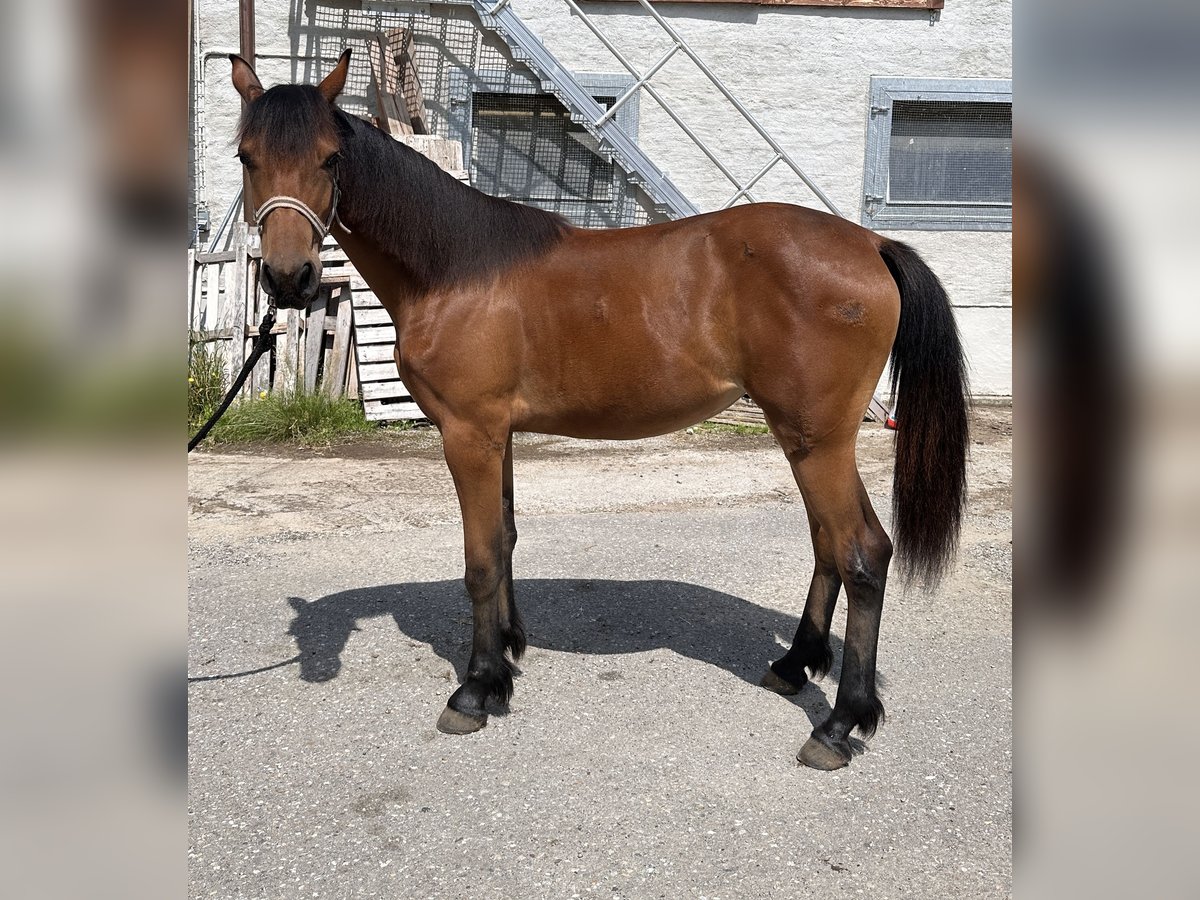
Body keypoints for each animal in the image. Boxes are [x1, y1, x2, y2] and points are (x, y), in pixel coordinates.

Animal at [229, 49, 969, 772]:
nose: (289, 279)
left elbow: (479, 558)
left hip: (818, 439)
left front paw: (475, 689)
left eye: (330, 158)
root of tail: (870, 245)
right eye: (245, 156)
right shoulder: (497, 434)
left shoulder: (469, 433)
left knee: (862, 554)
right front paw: (508, 656)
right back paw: (794, 665)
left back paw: (840, 725)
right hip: (806, 438)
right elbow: (505, 538)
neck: (456, 269)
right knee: (831, 545)